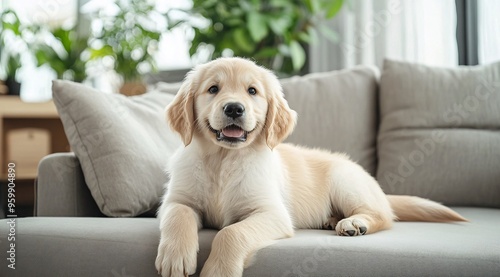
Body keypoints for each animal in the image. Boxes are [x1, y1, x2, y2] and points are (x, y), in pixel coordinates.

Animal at [155, 57, 464, 274]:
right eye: (213, 89)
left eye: (252, 91)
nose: (234, 108)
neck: (223, 160)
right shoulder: (176, 200)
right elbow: (178, 215)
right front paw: (175, 257)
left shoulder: (273, 213)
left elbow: (230, 233)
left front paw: (218, 271)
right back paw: (331, 220)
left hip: (345, 181)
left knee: (383, 216)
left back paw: (353, 223)